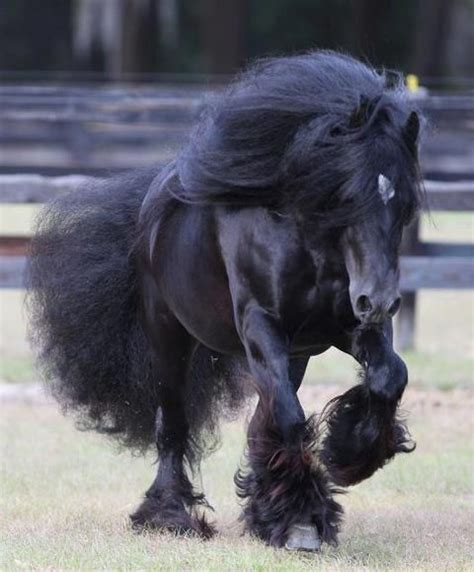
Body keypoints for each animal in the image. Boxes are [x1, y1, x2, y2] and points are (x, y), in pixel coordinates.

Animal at [28, 51, 422, 552]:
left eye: (405, 203)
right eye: (346, 195)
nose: (379, 300)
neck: (305, 238)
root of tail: (150, 208)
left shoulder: (343, 329)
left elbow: (389, 376)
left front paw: (349, 453)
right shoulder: (260, 325)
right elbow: (290, 418)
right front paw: (302, 522)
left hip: (296, 352)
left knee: (263, 415)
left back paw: (262, 506)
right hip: (170, 339)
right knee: (174, 425)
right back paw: (170, 515)